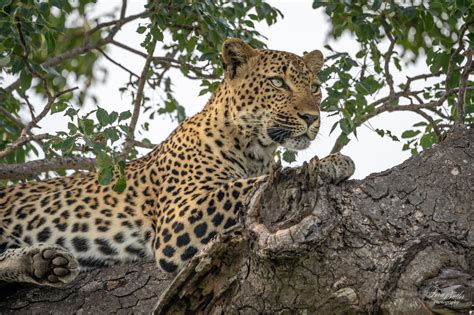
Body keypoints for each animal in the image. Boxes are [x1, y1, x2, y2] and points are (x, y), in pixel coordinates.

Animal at [0, 38, 356, 288]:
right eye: (277, 83)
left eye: (315, 87)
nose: (312, 118)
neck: (257, 149)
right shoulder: (181, 216)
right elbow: (251, 186)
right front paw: (330, 163)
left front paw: (333, 160)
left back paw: (44, 263)